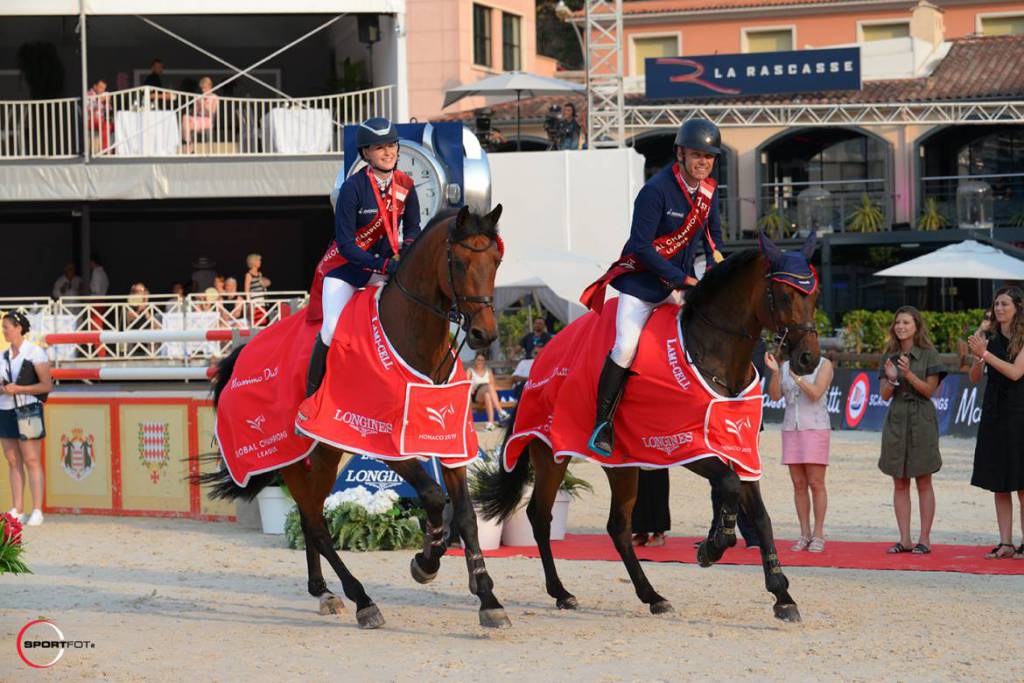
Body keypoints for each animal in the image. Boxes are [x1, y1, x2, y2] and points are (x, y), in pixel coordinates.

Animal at [197, 206, 509, 630]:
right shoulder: (380, 440)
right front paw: (426, 560)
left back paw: (324, 592)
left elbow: (464, 515)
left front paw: (487, 597)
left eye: (496, 261)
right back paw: (361, 599)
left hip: (325, 451)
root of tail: (242, 352)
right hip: (288, 455)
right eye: (459, 262)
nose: (484, 334)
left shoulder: (449, 441)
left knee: (310, 515)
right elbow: (432, 495)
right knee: (315, 522)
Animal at [475, 231, 819, 626]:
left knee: (618, 527)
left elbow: (761, 518)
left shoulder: (740, 449)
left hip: (621, 464)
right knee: (540, 516)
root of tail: (541, 359)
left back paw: (652, 595)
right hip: (550, 454)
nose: (808, 359)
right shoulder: (686, 446)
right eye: (784, 295)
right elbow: (729, 485)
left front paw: (782, 595)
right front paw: (713, 547)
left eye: (814, 295)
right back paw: (562, 592)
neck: (716, 357)